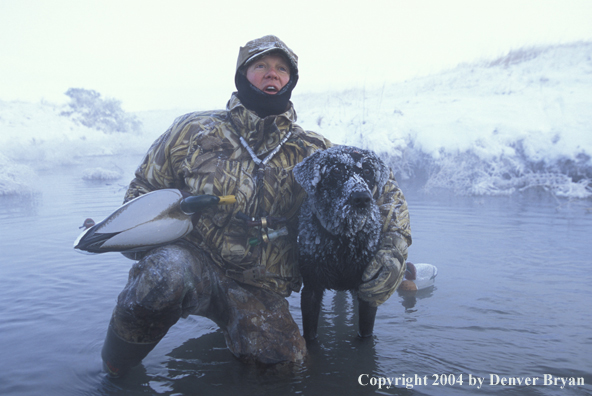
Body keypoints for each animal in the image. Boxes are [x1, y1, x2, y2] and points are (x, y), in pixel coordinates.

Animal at [294, 146, 390, 340]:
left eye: (368, 171)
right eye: (336, 171)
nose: (362, 198)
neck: (343, 241)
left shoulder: (367, 292)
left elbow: (365, 333)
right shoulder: (311, 288)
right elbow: (310, 334)